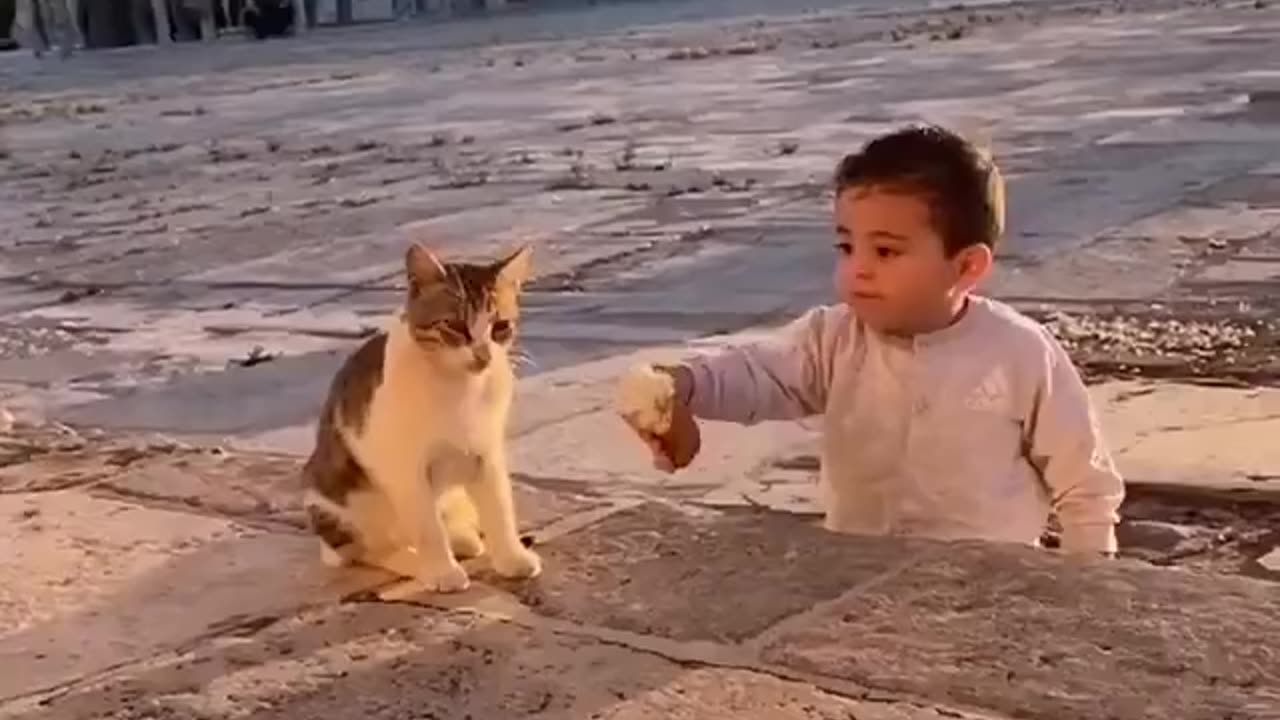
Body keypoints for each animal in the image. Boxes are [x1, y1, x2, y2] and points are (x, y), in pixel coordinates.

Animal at [302, 238, 542, 591]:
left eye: (500, 326)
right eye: (455, 326)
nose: (483, 354)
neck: (458, 387)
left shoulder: (487, 453)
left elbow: (499, 509)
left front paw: (512, 558)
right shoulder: (407, 470)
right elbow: (427, 527)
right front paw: (442, 571)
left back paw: (461, 539)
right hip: (340, 504)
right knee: (370, 549)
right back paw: (411, 559)